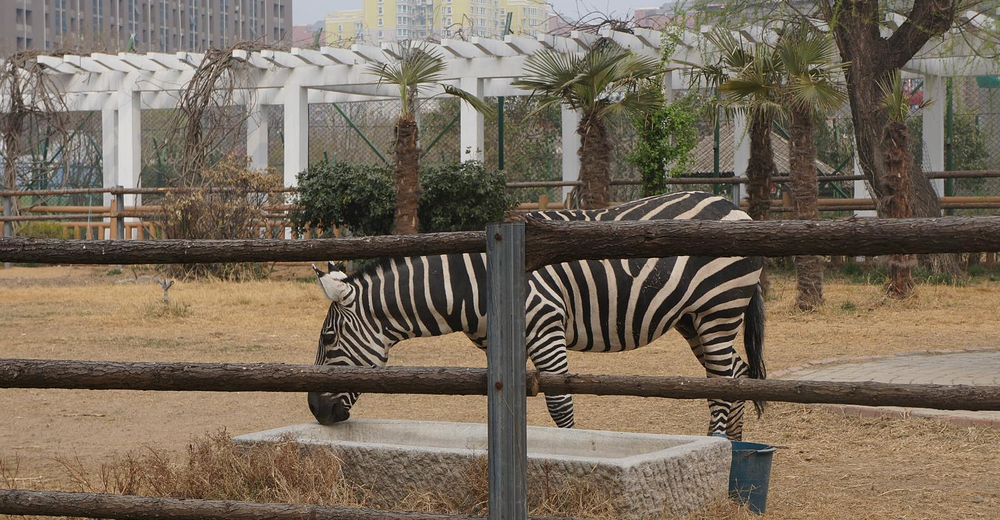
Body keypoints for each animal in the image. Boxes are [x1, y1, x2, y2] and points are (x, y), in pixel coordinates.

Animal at [308, 191, 768, 438]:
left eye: (328, 340)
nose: (315, 411)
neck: (475, 282)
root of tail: (732, 205)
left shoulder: (547, 325)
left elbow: (560, 403)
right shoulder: (499, 344)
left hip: (718, 308)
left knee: (724, 380)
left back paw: (717, 447)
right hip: (694, 317)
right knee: (736, 373)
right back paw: (733, 458)